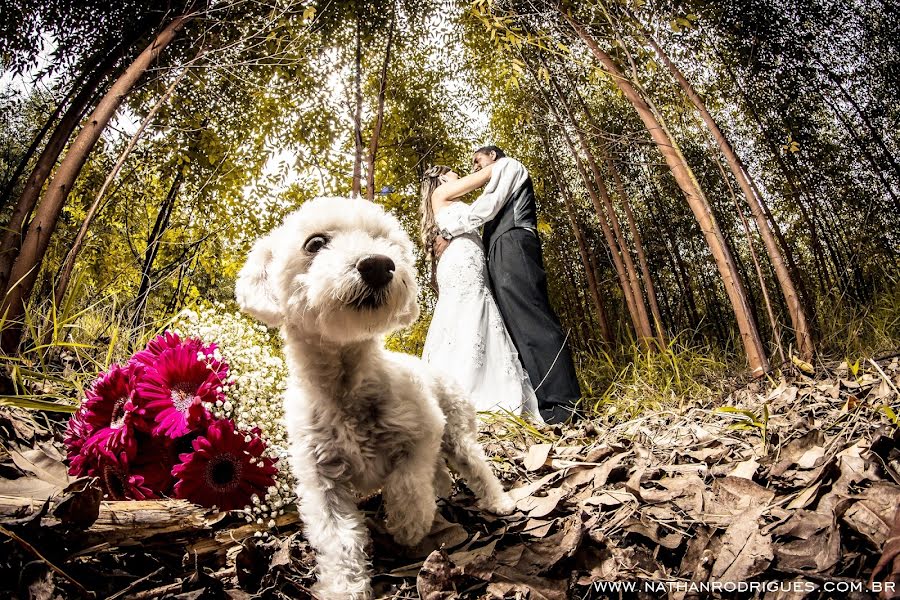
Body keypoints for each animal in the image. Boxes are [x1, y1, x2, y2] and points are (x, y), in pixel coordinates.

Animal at [234, 198, 512, 600]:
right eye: (315, 243)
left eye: (385, 241)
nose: (379, 264)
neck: (346, 387)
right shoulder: (321, 479)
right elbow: (339, 539)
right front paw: (345, 587)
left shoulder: (425, 429)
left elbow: (407, 481)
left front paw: (409, 524)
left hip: (456, 431)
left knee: (475, 465)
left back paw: (498, 501)